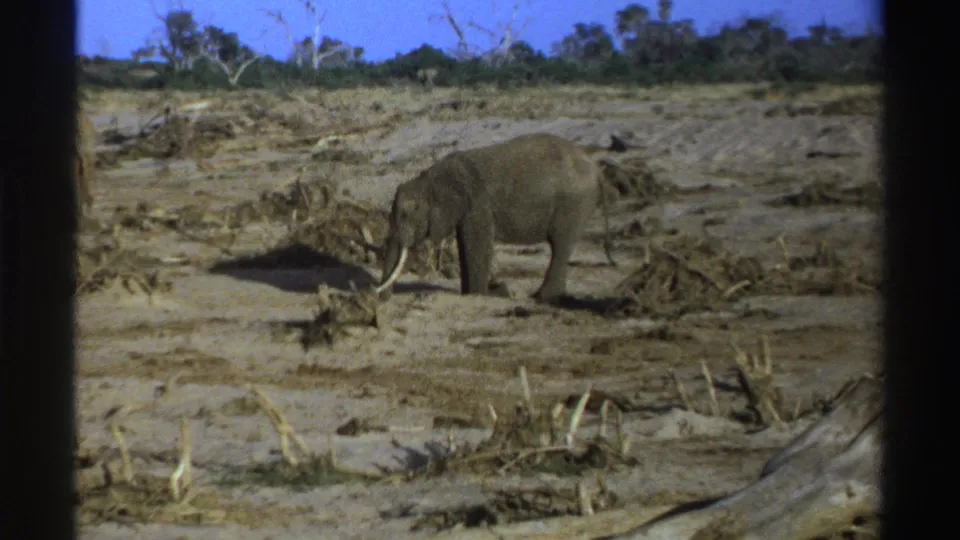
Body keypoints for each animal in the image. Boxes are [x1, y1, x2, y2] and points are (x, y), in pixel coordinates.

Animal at [375, 133, 616, 302]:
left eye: (406, 214)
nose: (381, 297)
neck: (430, 178)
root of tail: (597, 169)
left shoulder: (478, 204)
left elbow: (478, 243)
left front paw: (478, 295)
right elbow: (465, 244)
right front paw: (470, 293)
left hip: (574, 203)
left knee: (560, 244)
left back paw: (541, 297)